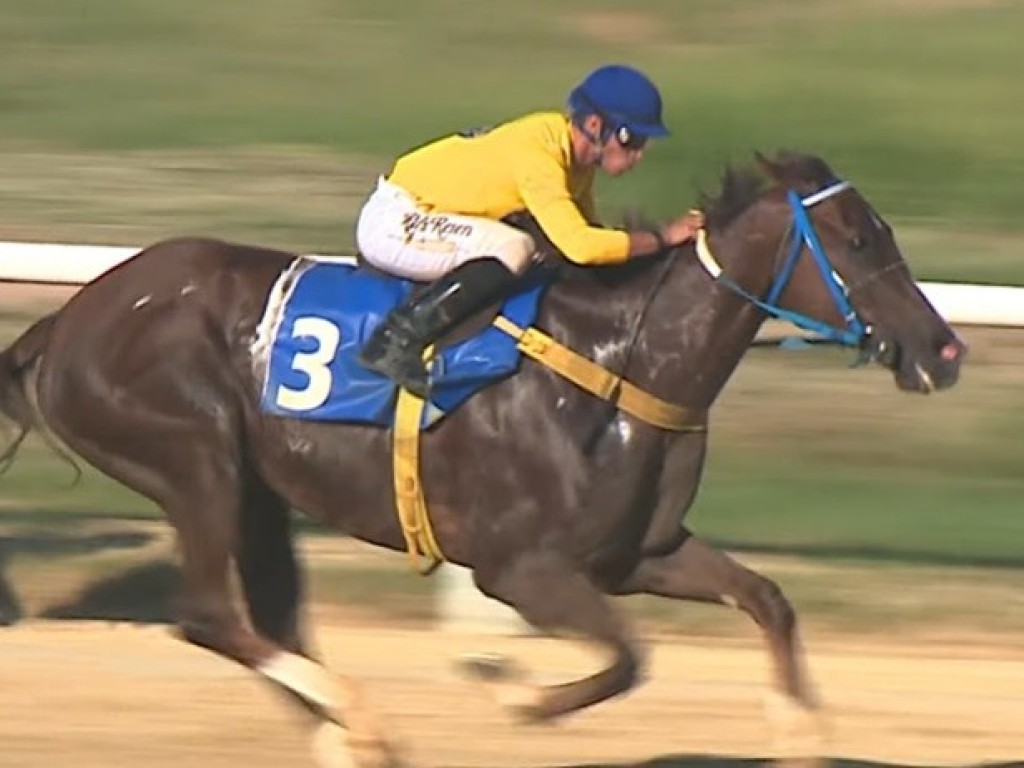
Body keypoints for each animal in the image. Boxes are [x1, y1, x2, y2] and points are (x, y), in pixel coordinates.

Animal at [0, 153, 962, 765]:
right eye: (861, 241)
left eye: (884, 231)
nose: (943, 349)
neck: (622, 364)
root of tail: (69, 319)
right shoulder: (519, 568)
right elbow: (627, 660)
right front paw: (510, 688)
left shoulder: (637, 555)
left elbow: (766, 600)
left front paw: (802, 736)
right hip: (196, 459)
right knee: (208, 615)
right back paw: (364, 725)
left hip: (259, 490)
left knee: (269, 624)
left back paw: (352, 739)